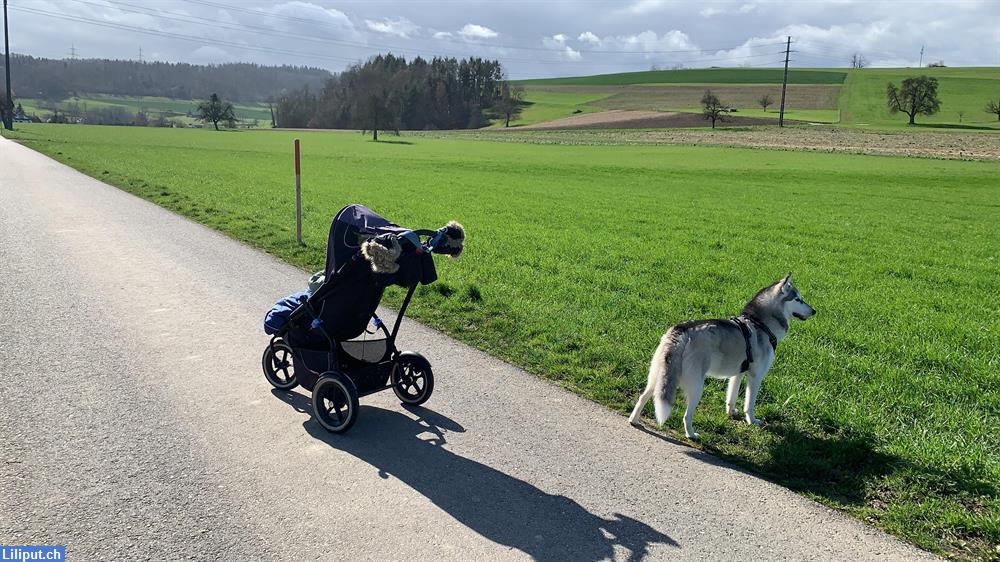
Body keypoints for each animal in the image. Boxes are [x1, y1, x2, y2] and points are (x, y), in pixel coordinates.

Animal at [628, 274, 816, 440]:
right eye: (798, 299)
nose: (814, 311)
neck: (760, 323)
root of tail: (681, 332)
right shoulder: (756, 376)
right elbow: (750, 404)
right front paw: (752, 421)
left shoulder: (738, 373)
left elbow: (731, 397)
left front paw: (731, 412)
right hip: (697, 386)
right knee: (686, 415)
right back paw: (691, 435)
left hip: (659, 376)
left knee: (643, 396)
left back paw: (634, 420)